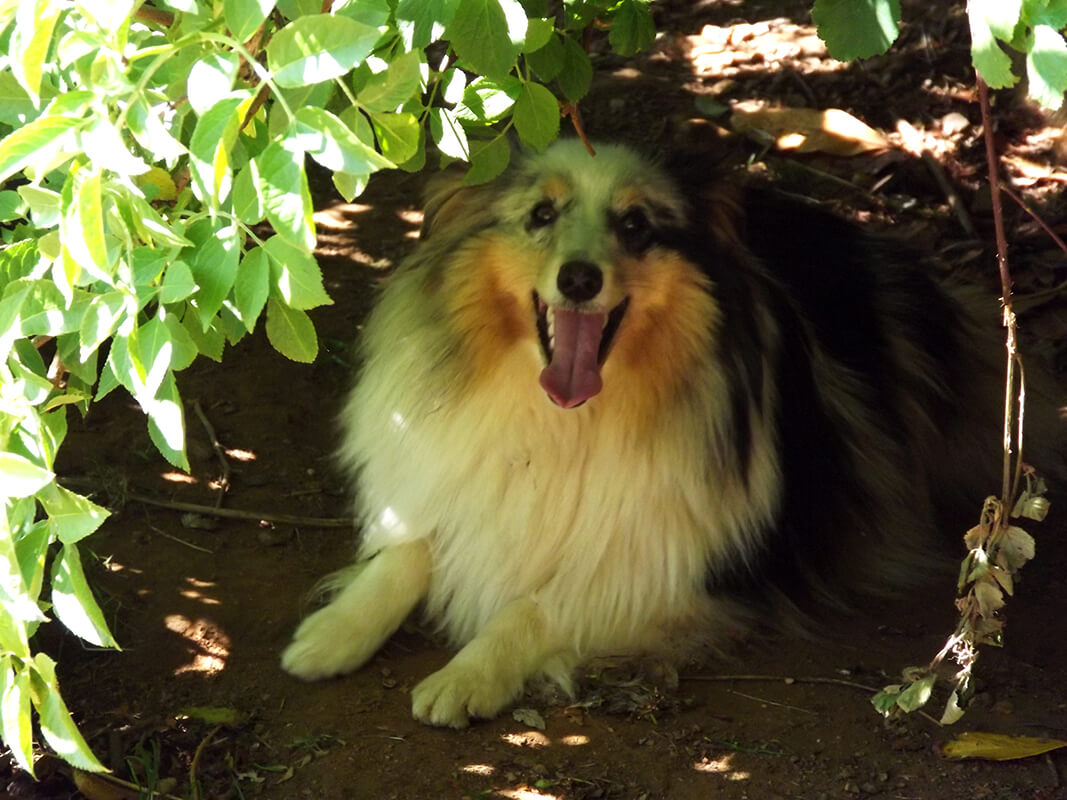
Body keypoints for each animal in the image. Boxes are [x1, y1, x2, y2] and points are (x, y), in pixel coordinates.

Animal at [279, 139, 1045, 733]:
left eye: (637, 224)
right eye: (540, 215)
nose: (578, 278)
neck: (562, 420)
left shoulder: (663, 572)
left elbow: (533, 608)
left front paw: (463, 678)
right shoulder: (452, 487)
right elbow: (407, 553)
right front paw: (329, 633)